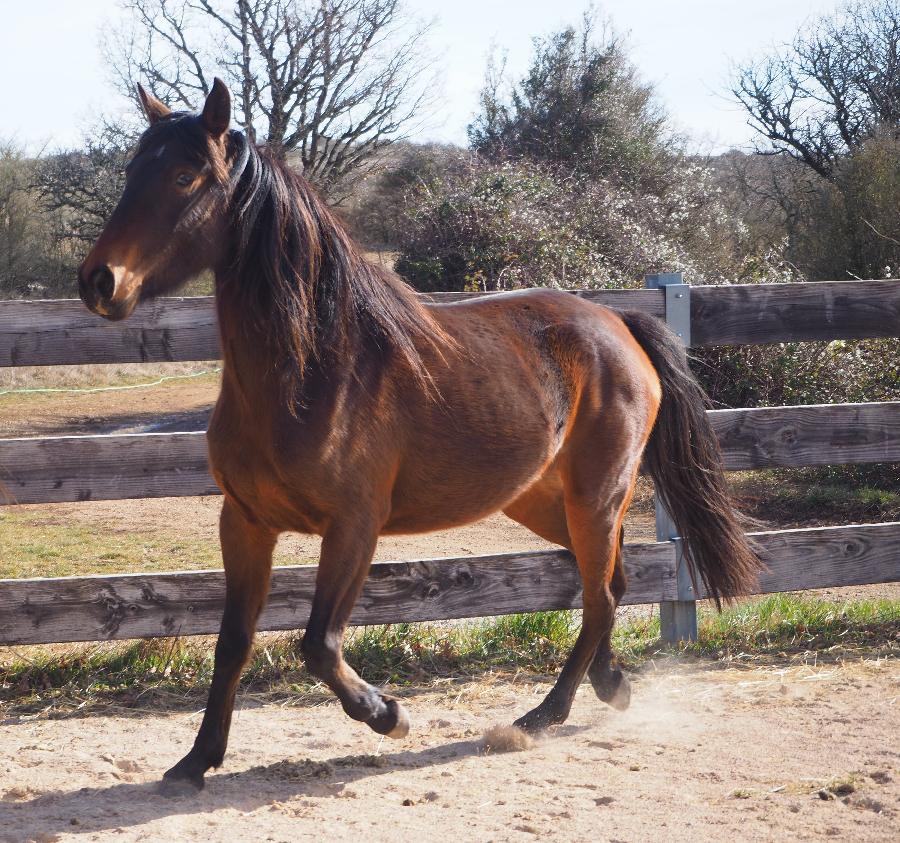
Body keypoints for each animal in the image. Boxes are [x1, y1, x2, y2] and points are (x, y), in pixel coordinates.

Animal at [77, 79, 764, 792]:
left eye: (185, 176)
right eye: (132, 171)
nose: (99, 281)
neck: (313, 369)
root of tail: (619, 322)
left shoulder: (355, 525)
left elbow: (318, 644)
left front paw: (388, 714)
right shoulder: (244, 522)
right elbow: (233, 641)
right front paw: (197, 759)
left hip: (595, 496)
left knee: (601, 598)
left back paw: (540, 717)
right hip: (547, 503)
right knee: (614, 584)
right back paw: (610, 685)